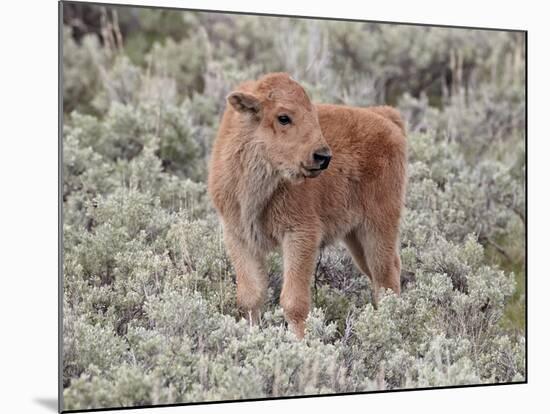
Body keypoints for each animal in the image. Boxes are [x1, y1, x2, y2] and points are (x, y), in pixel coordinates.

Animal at [209, 73, 408, 338]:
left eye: (313, 114)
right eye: (283, 117)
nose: (323, 156)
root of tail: (387, 119)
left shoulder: (300, 235)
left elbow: (294, 302)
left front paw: (302, 343)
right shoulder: (239, 237)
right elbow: (250, 296)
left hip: (378, 227)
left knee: (386, 276)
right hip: (355, 238)